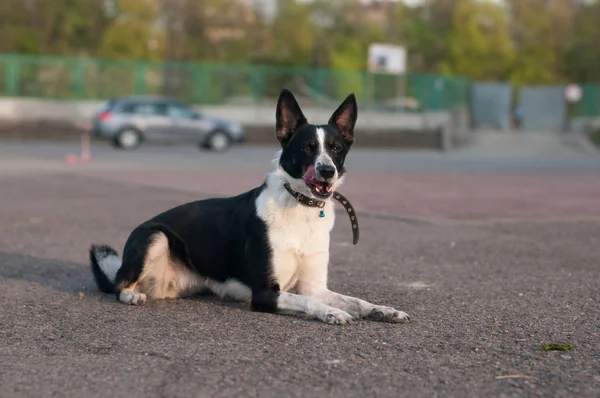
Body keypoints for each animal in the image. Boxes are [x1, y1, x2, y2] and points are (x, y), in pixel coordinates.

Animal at [88, 88, 408, 324]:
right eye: (307, 148)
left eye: (336, 149)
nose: (327, 171)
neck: (301, 207)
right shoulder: (266, 292)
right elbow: (308, 301)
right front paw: (332, 312)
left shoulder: (315, 286)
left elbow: (354, 300)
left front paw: (382, 309)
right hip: (155, 236)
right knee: (118, 285)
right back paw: (130, 295)